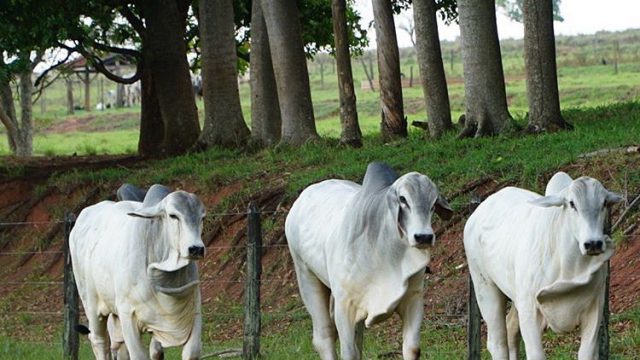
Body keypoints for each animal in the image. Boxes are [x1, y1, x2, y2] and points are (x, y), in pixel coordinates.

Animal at [70, 190, 206, 358]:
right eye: (173, 215)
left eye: (202, 217)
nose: (196, 248)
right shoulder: (127, 314)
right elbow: (138, 355)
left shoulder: (193, 311)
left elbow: (182, 352)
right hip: (91, 303)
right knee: (99, 340)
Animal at [282, 163, 452, 360]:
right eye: (403, 199)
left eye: (433, 203)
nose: (424, 237)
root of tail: (304, 196)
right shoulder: (344, 306)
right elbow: (348, 352)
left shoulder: (413, 299)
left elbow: (412, 349)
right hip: (305, 275)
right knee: (324, 336)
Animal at [462, 173, 624, 358]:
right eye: (572, 204)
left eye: (604, 203)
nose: (593, 244)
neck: (569, 267)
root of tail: (477, 212)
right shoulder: (529, 310)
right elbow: (535, 354)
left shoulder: (595, 309)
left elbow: (587, 353)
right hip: (484, 287)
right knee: (497, 342)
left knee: (511, 328)